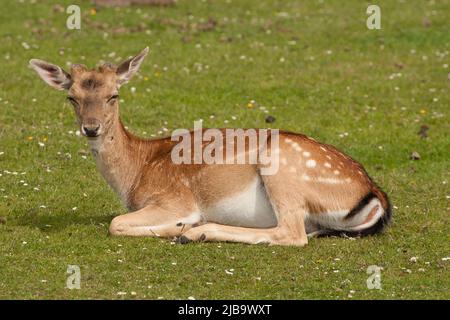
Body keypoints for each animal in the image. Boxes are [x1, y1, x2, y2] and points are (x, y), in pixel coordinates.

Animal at [29, 47, 392, 246]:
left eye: (113, 95)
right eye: (71, 97)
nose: (91, 128)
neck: (136, 174)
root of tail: (374, 193)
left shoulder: (174, 198)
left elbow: (115, 223)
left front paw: (182, 226)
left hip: (282, 167)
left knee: (292, 232)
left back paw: (195, 232)